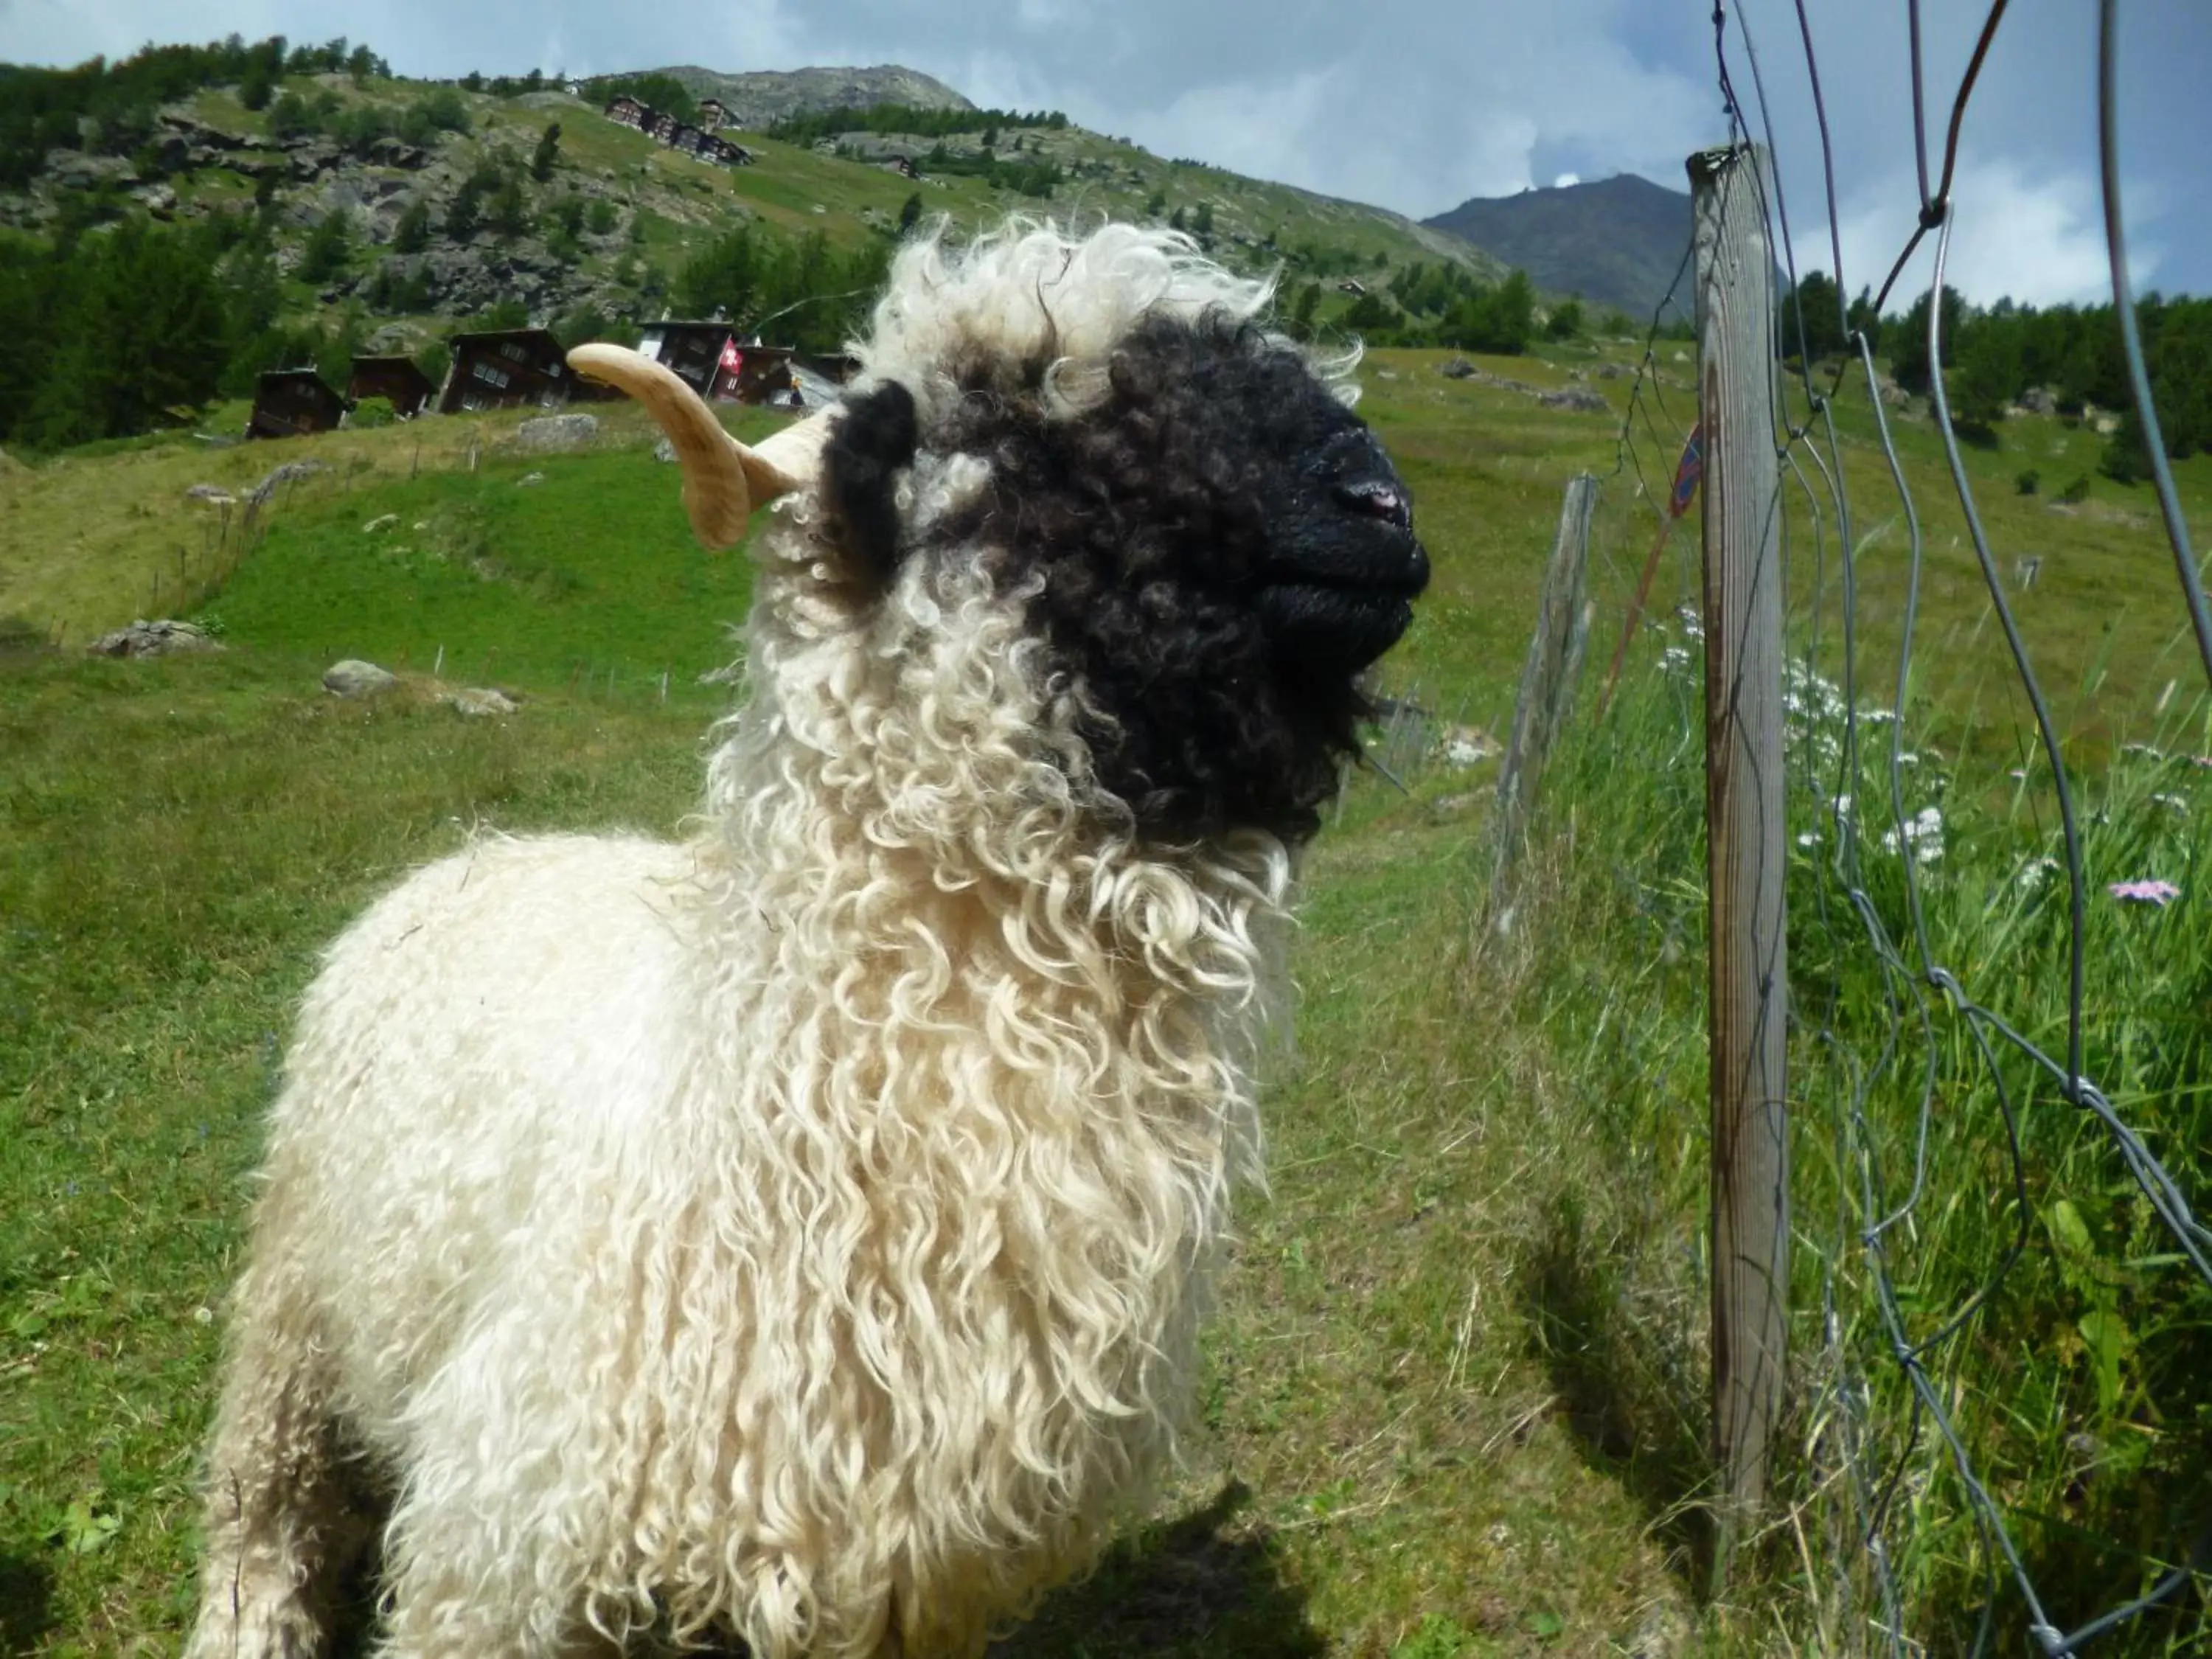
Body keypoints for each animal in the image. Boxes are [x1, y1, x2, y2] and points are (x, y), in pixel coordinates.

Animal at [195, 224, 1433, 1659]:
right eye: (1025, 416)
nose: (1381, 507)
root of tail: (478, 850)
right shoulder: (501, 1536)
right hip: (297, 1293)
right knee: (266, 1486)